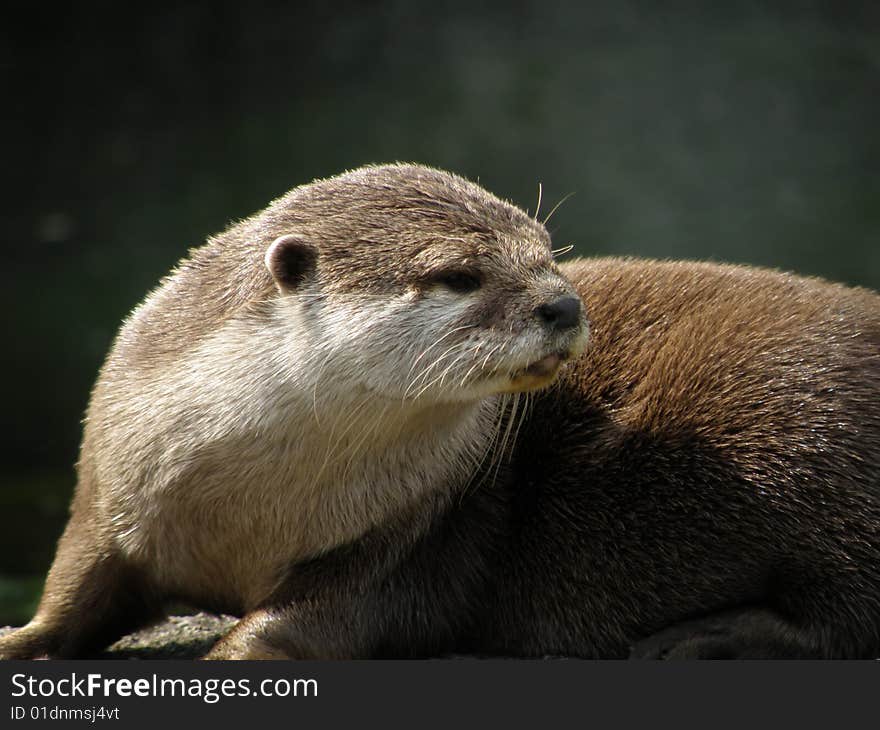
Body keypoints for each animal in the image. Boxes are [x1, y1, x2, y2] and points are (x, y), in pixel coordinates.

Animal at [1, 165, 880, 660]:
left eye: (547, 250)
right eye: (458, 274)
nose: (564, 304)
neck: (247, 506)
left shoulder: (408, 538)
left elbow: (314, 620)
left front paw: (227, 653)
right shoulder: (111, 481)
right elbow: (74, 584)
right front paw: (20, 639)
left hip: (808, 448)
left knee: (846, 615)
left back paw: (699, 640)